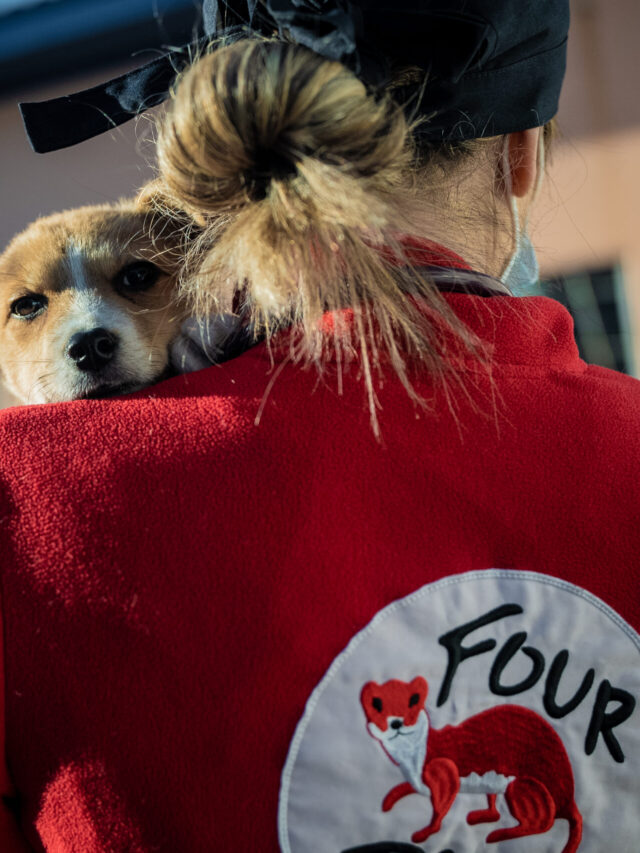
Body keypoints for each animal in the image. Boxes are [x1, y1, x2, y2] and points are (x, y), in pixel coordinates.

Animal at [362, 676, 584, 848]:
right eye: (376, 704)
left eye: (414, 700)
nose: (396, 722)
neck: (413, 757)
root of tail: (570, 799)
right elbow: (407, 787)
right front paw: (390, 799)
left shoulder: (443, 770)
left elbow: (439, 808)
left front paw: (426, 831)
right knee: (496, 810)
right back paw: (484, 815)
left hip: (525, 787)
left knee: (544, 823)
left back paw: (500, 834)